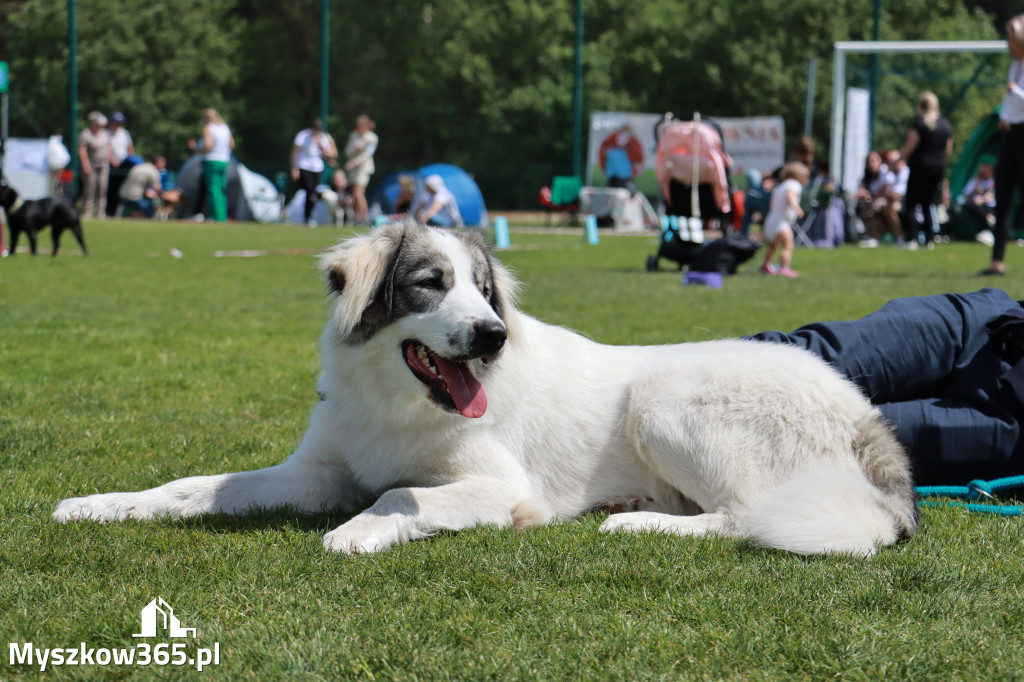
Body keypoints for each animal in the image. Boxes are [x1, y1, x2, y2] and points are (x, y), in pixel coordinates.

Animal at [56, 220, 921, 557]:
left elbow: (398, 495)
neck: (396, 401)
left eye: (483, 288)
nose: (492, 335)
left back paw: (639, 523)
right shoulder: (315, 472)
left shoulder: (500, 485)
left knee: (745, 516)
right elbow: (190, 487)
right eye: (431, 285)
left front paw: (358, 533)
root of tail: (863, 413)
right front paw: (99, 505)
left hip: (665, 399)